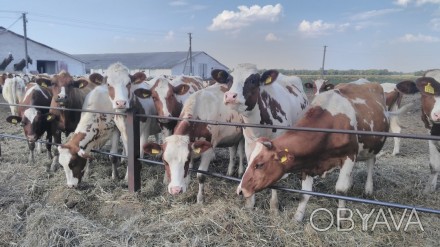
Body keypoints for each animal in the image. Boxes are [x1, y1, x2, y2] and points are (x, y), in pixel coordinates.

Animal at [215, 63, 308, 210]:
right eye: (229, 79)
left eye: (253, 80)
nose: (230, 96)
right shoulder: (249, 143)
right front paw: (249, 202)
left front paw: (274, 205)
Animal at [235, 81, 410, 222]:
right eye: (249, 161)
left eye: (260, 164)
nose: (240, 190)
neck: (331, 122)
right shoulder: (308, 162)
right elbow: (305, 194)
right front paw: (297, 218)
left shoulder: (349, 155)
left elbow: (340, 190)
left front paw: (341, 217)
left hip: (373, 144)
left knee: (371, 163)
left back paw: (368, 189)